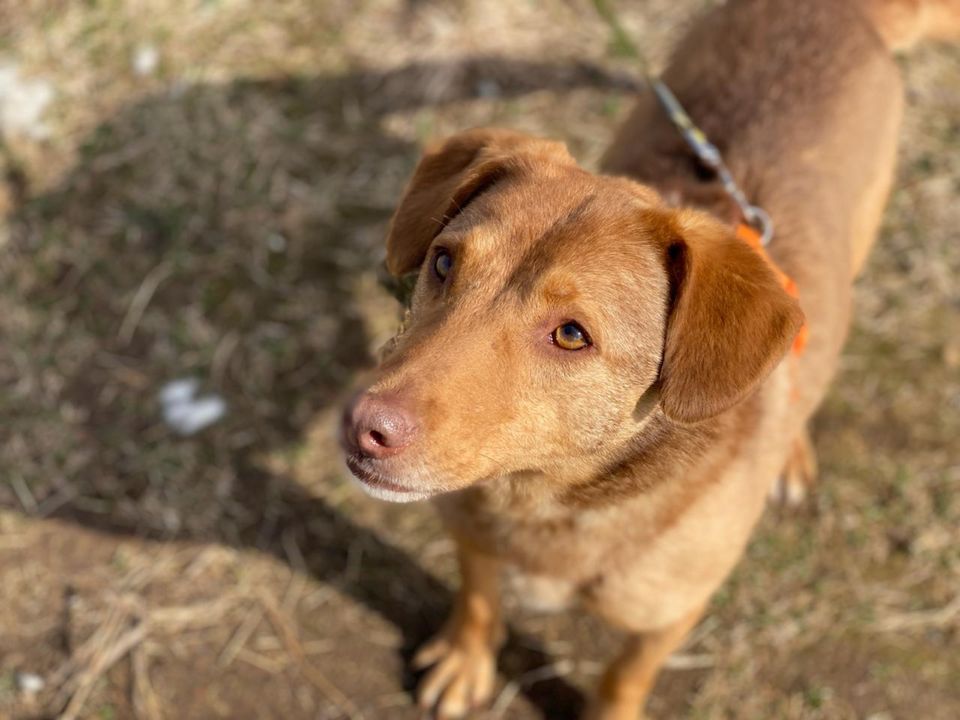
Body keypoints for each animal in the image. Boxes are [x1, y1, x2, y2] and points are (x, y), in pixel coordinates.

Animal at [340, 2, 960, 716]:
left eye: (571, 335)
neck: (542, 496)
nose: (362, 426)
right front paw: (467, 659)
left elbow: (622, 677)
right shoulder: (469, 529)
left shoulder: (667, 615)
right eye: (443, 263)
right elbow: (478, 594)